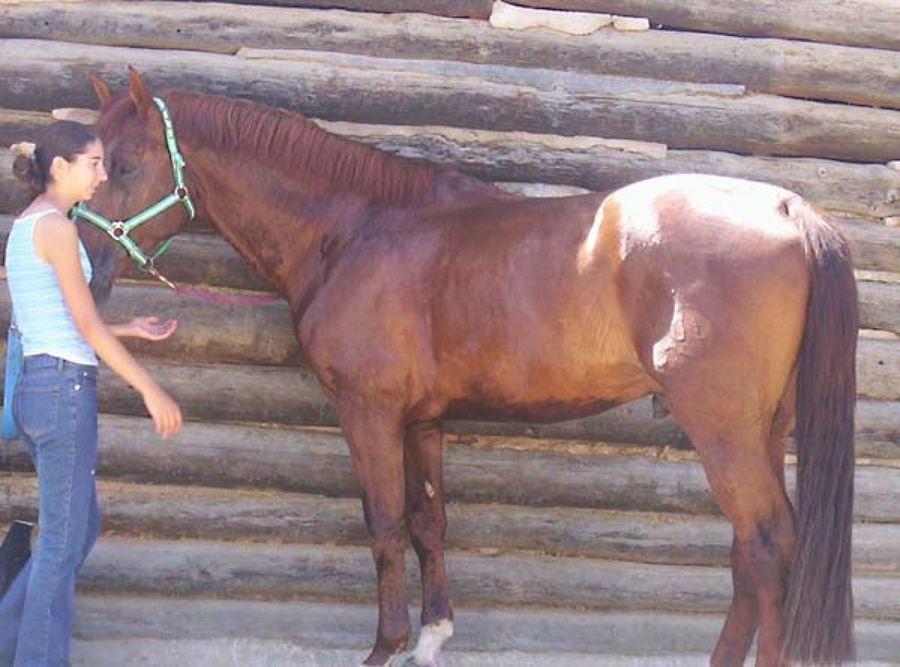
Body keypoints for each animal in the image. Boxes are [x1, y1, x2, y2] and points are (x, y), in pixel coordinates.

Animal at [79, 68, 858, 667]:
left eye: (125, 165)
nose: (84, 267)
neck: (357, 229)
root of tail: (788, 208)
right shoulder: (422, 421)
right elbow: (430, 521)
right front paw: (432, 638)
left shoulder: (368, 411)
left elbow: (385, 523)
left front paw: (386, 646)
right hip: (765, 427)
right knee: (751, 553)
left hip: (722, 426)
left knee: (767, 543)